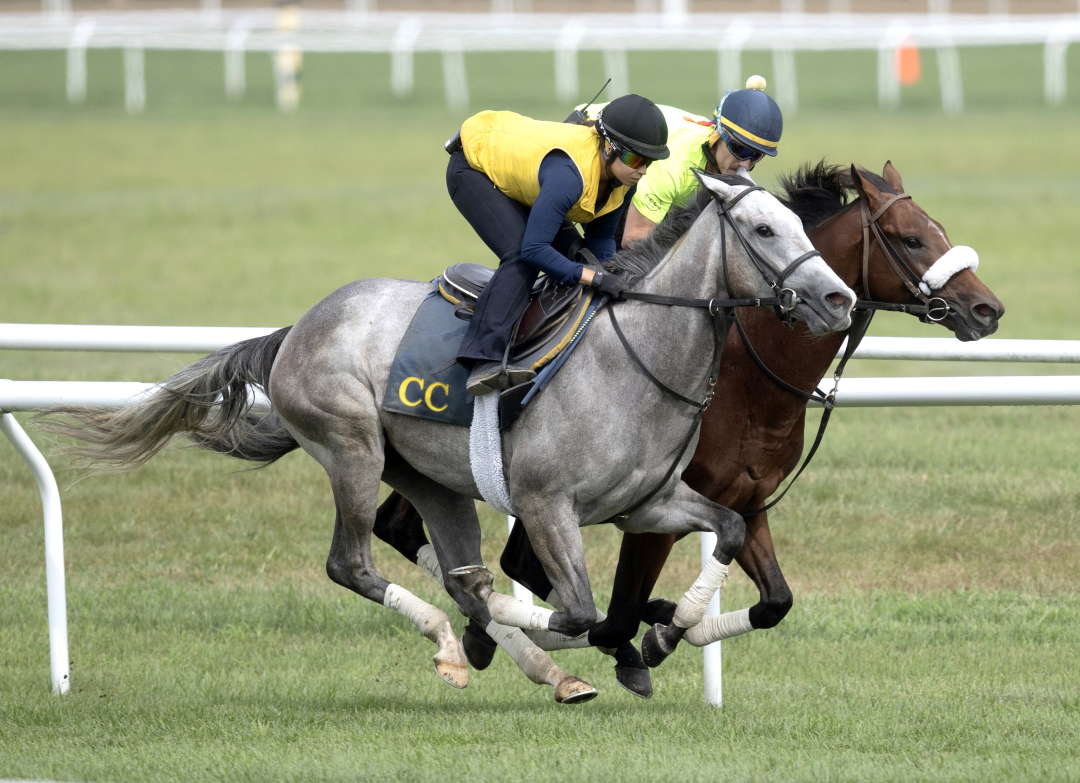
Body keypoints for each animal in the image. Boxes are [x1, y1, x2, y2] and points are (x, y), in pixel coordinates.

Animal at [46, 176, 851, 704]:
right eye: (765, 229)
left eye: (799, 222)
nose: (837, 297)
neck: (636, 359)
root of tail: (299, 326)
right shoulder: (547, 504)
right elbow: (582, 611)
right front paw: (601, 634)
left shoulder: (647, 504)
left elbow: (725, 530)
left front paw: (667, 627)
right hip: (353, 449)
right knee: (354, 564)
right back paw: (456, 638)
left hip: (433, 480)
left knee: (450, 562)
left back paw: (526, 655)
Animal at [369, 159, 1002, 695]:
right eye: (911, 238)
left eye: (939, 228)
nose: (987, 309)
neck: (747, 374)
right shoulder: (646, 513)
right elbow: (616, 615)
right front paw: (651, 635)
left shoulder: (745, 500)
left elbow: (774, 600)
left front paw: (669, 626)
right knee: (407, 530)